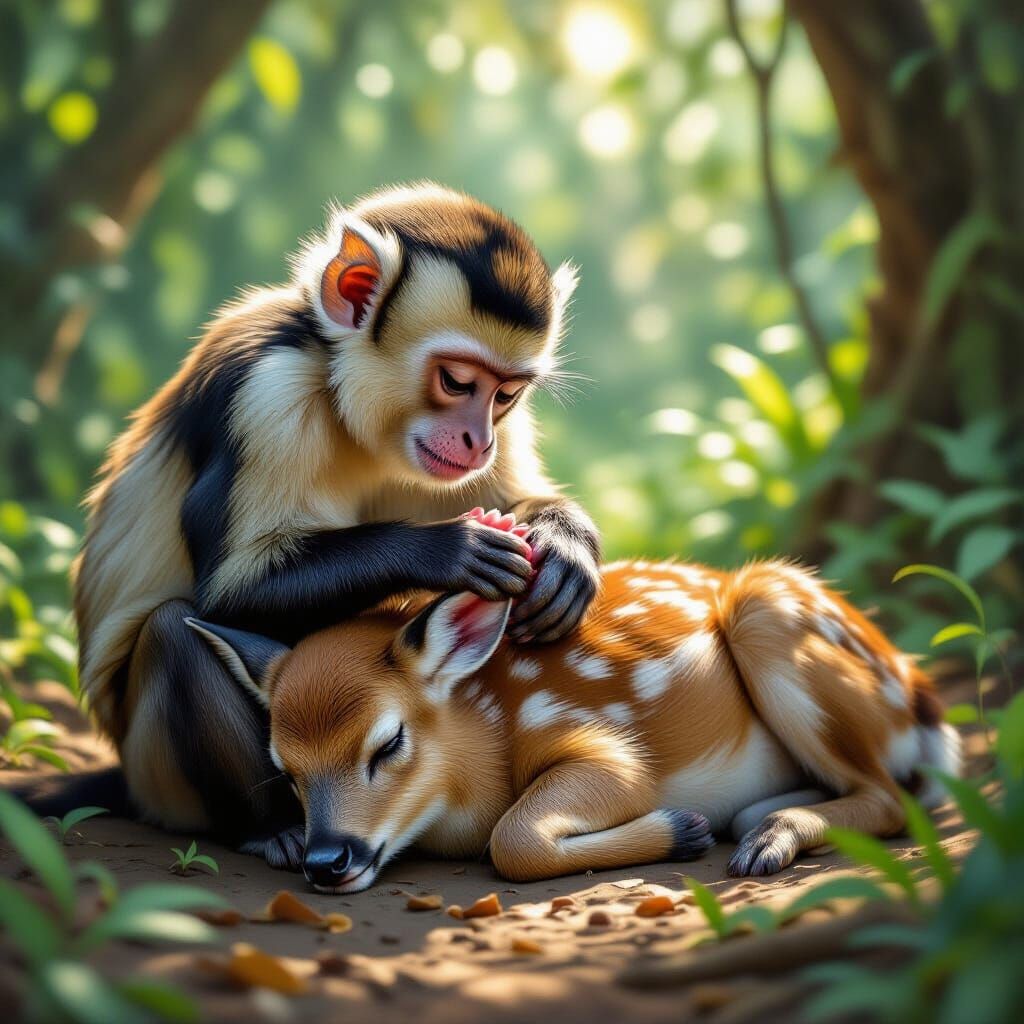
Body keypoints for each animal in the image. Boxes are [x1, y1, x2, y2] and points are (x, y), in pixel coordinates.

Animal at [67, 184, 601, 868]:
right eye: (457, 380)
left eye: (505, 394)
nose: (478, 440)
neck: (338, 388)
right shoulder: (265, 396)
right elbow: (229, 592)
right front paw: (445, 550)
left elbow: (518, 501)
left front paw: (566, 548)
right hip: (157, 778)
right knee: (172, 634)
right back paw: (273, 828)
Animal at [188, 510, 961, 893]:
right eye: (285, 770)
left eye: (389, 743)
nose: (326, 861)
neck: (483, 733)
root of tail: (917, 692)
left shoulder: (603, 744)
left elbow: (513, 839)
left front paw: (681, 828)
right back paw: (757, 821)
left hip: (771, 617)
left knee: (893, 796)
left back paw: (766, 837)